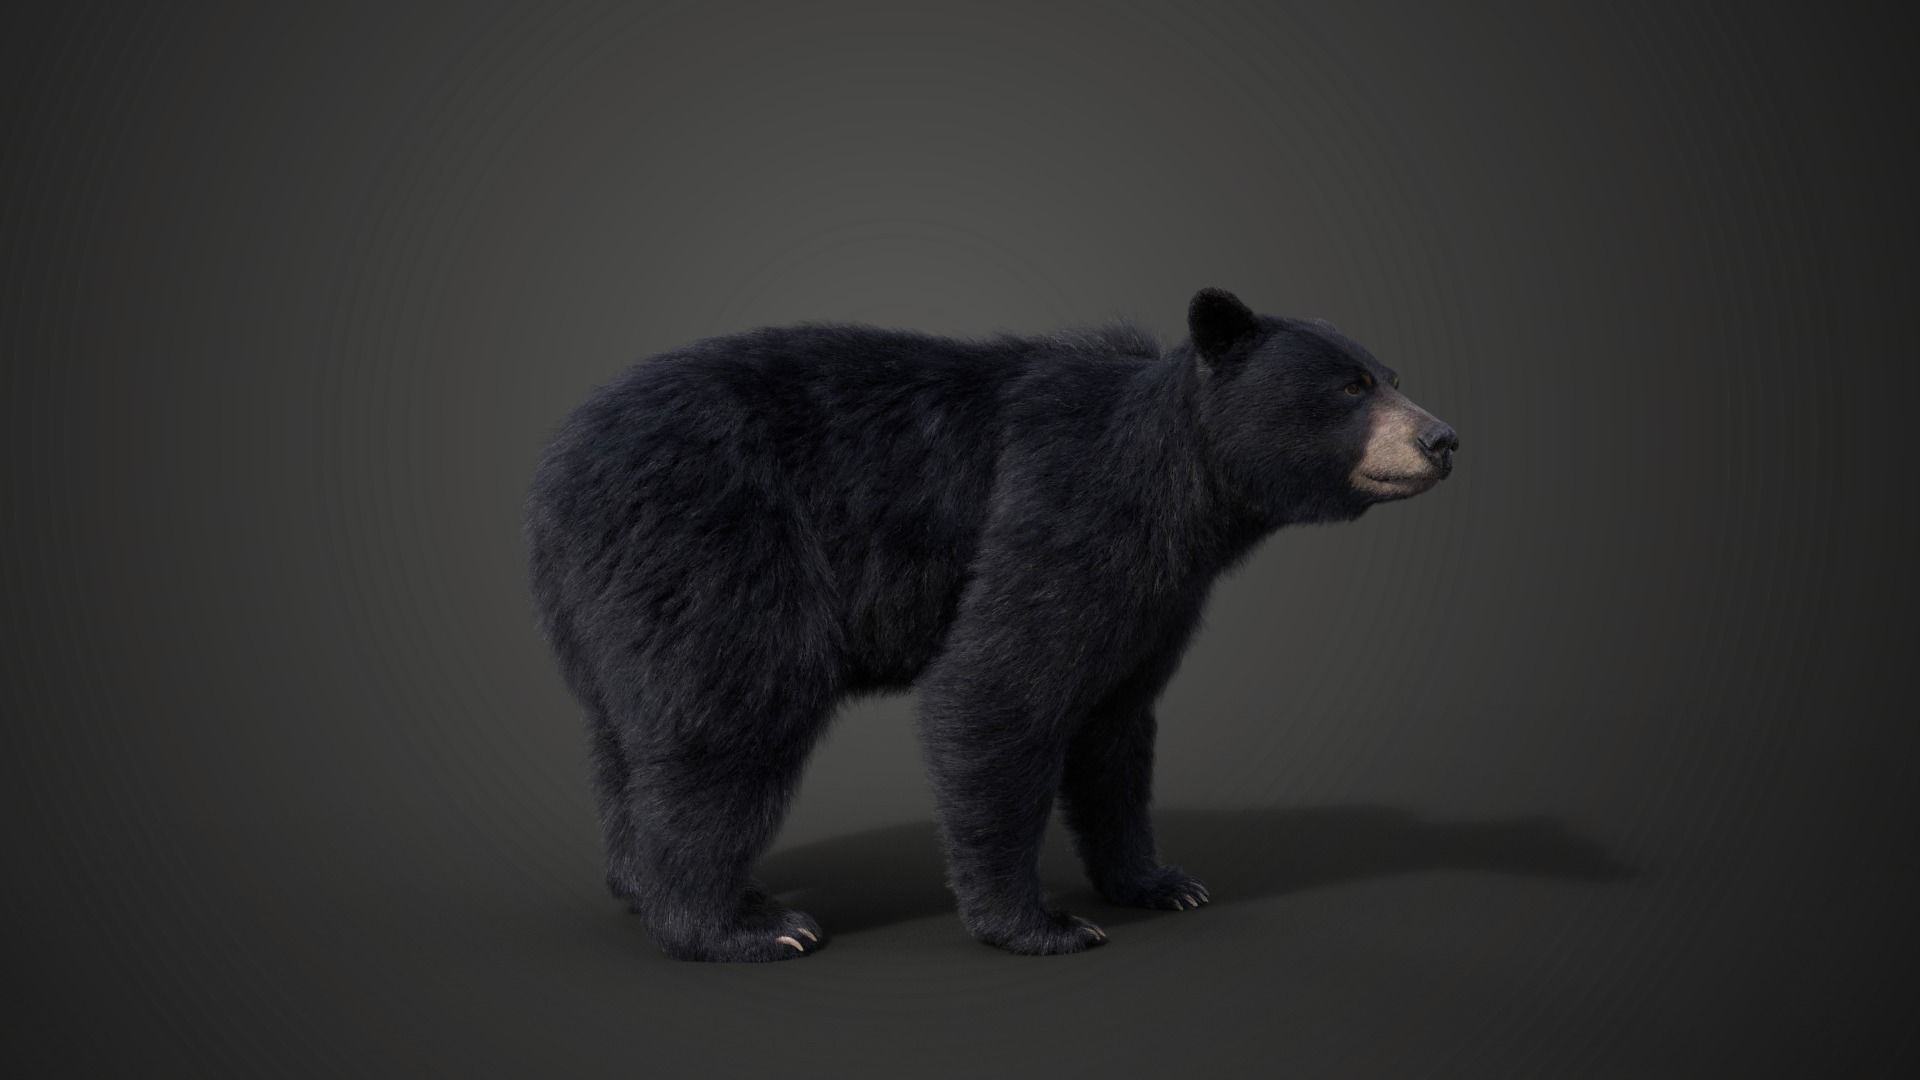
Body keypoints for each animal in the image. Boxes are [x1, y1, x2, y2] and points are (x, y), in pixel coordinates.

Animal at [524, 288, 1458, 961]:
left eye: (1392, 372)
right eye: (1350, 386)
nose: (1444, 438)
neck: (1182, 492)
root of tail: (558, 463)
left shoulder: (1157, 595)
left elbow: (1115, 725)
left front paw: (1158, 880)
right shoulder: (1061, 511)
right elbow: (996, 690)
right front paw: (1041, 924)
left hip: (608, 602)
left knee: (626, 736)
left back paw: (650, 886)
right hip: (716, 538)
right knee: (733, 710)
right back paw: (739, 926)